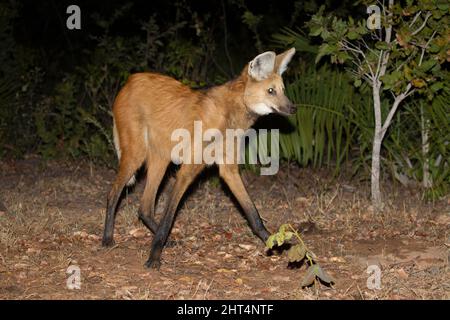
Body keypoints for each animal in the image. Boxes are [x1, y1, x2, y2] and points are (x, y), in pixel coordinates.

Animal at [103, 48, 298, 268]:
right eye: (271, 91)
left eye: (282, 90)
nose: (293, 108)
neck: (229, 115)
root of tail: (131, 79)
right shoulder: (188, 170)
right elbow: (168, 219)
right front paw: (154, 257)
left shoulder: (228, 169)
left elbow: (253, 214)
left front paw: (272, 242)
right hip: (136, 155)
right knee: (113, 194)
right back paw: (107, 238)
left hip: (161, 158)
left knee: (144, 207)